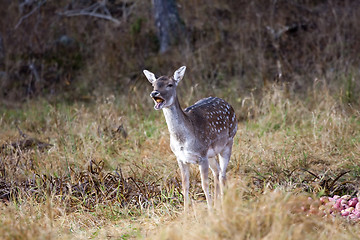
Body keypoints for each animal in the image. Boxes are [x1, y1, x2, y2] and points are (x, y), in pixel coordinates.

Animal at [142, 66, 238, 210]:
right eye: (153, 84)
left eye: (170, 84)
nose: (154, 93)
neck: (183, 141)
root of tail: (228, 104)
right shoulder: (181, 158)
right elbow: (185, 185)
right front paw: (186, 212)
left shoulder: (201, 155)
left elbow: (204, 185)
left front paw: (210, 210)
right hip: (211, 154)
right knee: (217, 171)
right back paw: (217, 203)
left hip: (229, 141)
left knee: (222, 174)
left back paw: (223, 204)